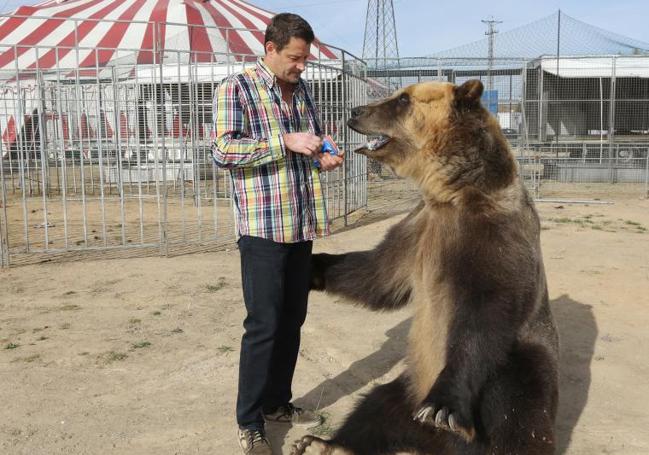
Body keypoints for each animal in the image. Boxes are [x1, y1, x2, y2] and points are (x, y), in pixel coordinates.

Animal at [292, 80, 560, 454]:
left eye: (402, 99)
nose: (355, 111)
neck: (453, 193)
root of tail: (442, 446)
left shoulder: (493, 234)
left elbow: (487, 308)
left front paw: (441, 407)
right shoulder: (419, 229)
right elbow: (378, 273)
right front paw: (310, 265)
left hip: (517, 362)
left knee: (515, 416)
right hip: (411, 384)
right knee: (376, 406)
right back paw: (326, 443)